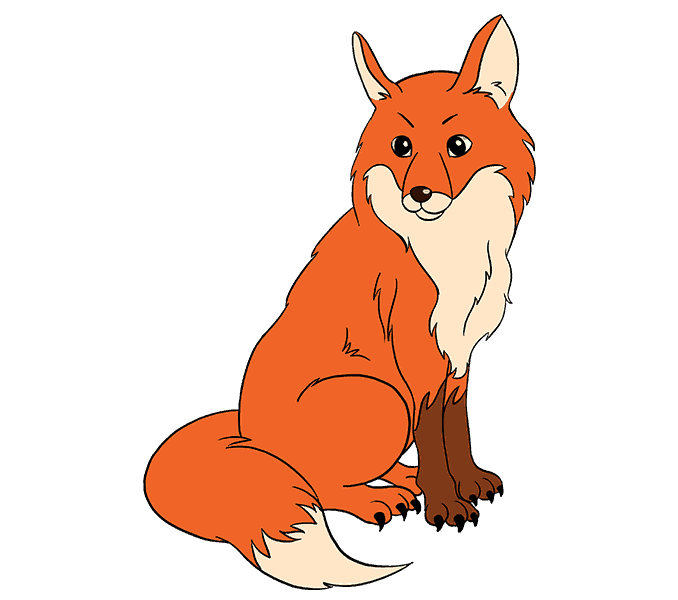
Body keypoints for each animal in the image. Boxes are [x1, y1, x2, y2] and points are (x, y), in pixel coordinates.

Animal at [146, 16, 533, 588]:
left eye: (458, 145)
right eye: (401, 146)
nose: (419, 195)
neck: (451, 249)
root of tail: (245, 432)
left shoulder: (459, 357)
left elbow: (456, 430)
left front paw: (469, 482)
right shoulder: (419, 364)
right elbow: (435, 440)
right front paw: (446, 506)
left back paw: (401, 477)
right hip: (381, 396)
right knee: (316, 485)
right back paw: (378, 499)